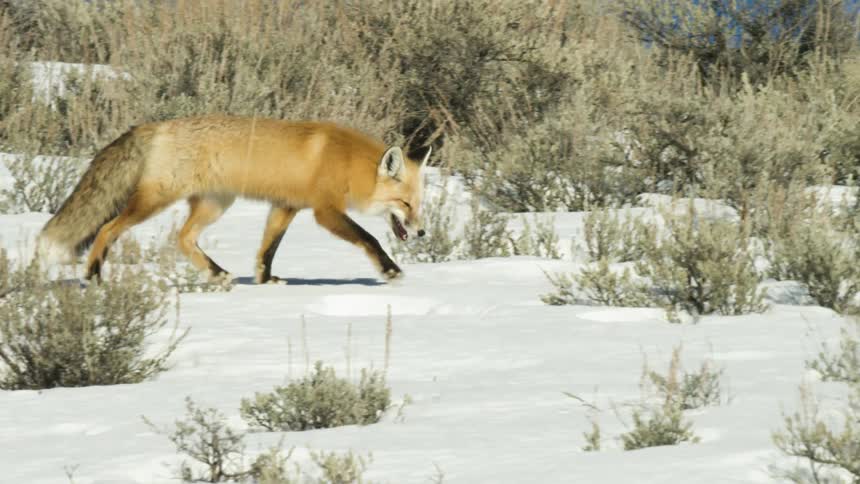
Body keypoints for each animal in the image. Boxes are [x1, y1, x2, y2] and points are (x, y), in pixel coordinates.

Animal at [37, 114, 431, 283]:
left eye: (420, 204)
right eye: (405, 204)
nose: (422, 233)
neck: (346, 162)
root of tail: (156, 126)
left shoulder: (286, 206)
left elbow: (267, 249)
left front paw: (264, 280)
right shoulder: (325, 211)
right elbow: (370, 238)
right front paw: (390, 269)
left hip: (214, 205)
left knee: (183, 239)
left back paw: (217, 273)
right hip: (155, 201)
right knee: (106, 229)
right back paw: (93, 276)